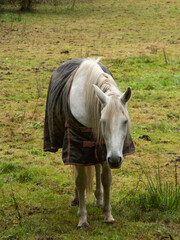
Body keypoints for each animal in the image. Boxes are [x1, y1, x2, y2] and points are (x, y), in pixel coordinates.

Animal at [43, 57, 134, 228]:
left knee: (97, 166)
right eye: (103, 121)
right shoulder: (76, 143)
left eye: (125, 121)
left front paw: (108, 215)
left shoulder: (104, 147)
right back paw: (77, 199)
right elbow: (81, 181)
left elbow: (106, 179)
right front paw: (82, 219)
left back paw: (99, 199)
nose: (115, 160)